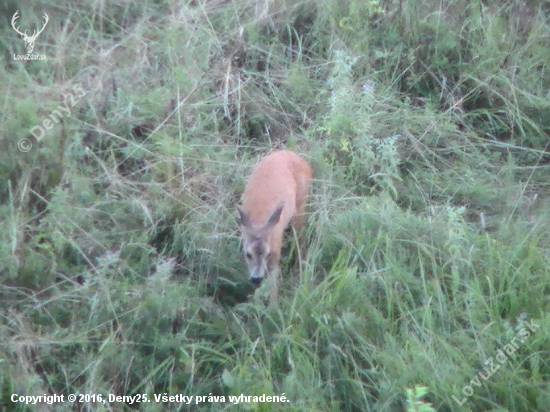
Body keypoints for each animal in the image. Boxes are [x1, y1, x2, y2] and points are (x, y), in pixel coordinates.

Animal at [237, 150, 312, 300]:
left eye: (267, 253)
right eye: (248, 254)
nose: (256, 279)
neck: (259, 221)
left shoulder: (275, 253)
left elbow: (273, 287)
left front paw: (273, 306)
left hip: (301, 201)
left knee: (300, 237)